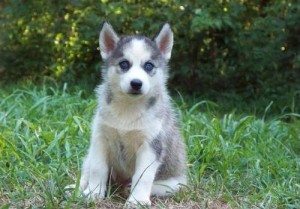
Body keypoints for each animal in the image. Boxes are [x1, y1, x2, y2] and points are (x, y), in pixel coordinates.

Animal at [79, 21, 188, 206]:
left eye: (149, 66)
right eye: (124, 64)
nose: (136, 83)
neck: (128, 109)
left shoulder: (150, 145)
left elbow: (143, 176)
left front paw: (137, 200)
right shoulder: (101, 138)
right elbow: (97, 168)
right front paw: (93, 193)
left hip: (176, 184)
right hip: (90, 156)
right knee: (87, 168)